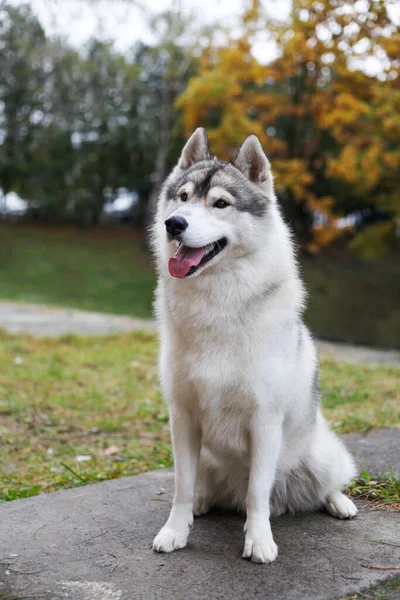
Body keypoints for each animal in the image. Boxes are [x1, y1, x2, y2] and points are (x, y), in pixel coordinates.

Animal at [152, 129, 358, 564]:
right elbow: (181, 487)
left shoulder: (264, 422)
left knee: (320, 485)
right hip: (207, 458)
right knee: (207, 490)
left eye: (221, 203)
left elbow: (257, 494)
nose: (173, 224)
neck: (217, 304)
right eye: (183, 197)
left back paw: (339, 502)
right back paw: (202, 505)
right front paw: (176, 530)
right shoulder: (182, 419)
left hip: (320, 455)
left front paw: (259, 540)